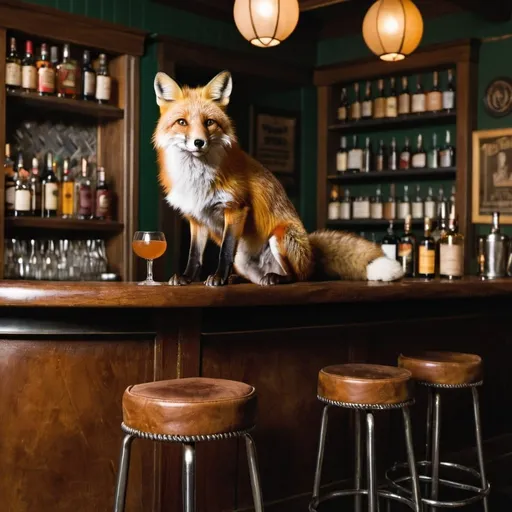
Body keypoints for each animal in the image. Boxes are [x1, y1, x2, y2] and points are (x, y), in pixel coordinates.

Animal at [152, 71, 404, 288]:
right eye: (182, 122)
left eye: (209, 122)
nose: (199, 142)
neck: (197, 178)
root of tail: (312, 253)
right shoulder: (197, 217)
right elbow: (194, 255)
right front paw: (187, 277)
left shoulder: (236, 208)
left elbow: (224, 250)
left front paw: (218, 278)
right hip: (243, 259)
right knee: (255, 276)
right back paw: (237, 278)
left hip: (280, 237)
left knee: (298, 276)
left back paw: (276, 278)